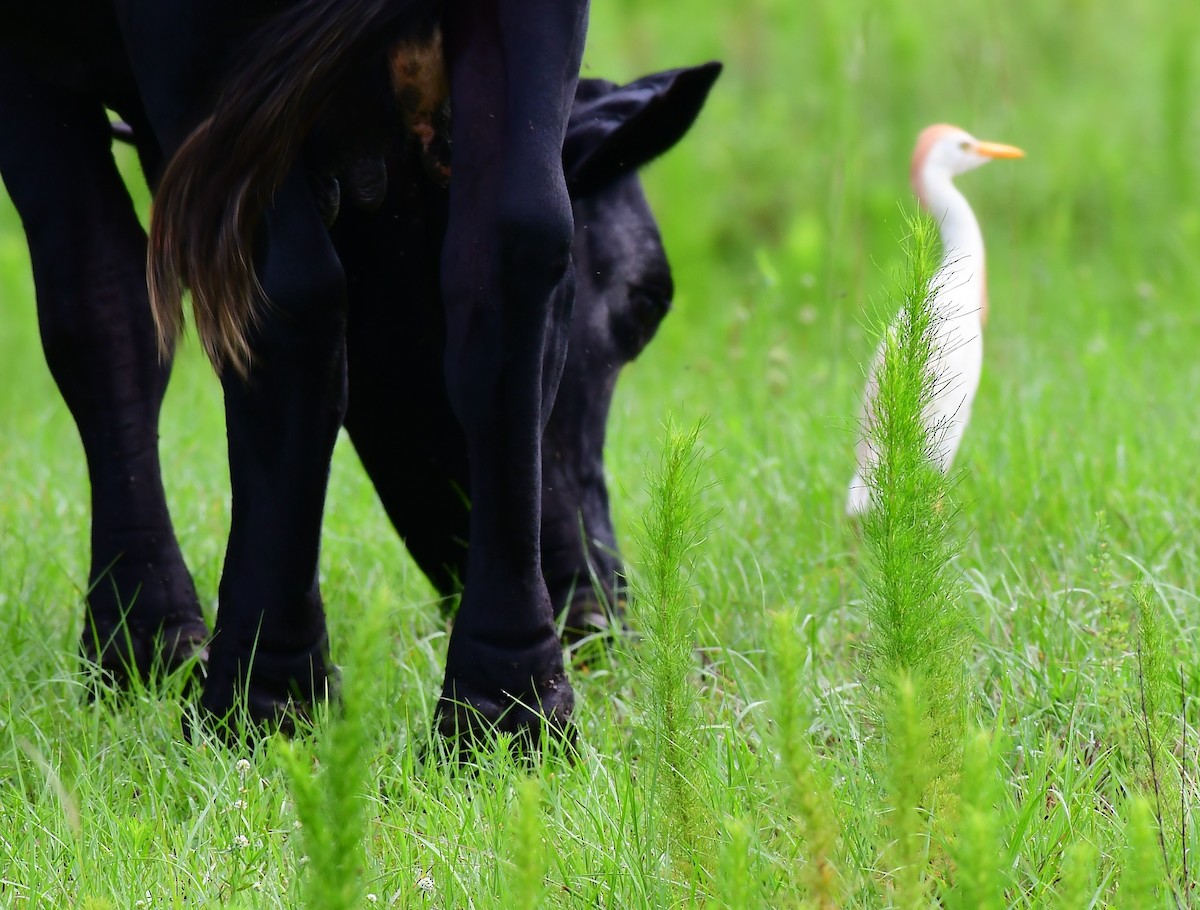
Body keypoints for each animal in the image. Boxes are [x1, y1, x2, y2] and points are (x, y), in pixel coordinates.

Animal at [0, 0, 715, 744]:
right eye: (644, 302)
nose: (597, 609)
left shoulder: (28, 69)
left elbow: (97, 306)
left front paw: (140, 643)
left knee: (285, 292)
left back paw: (258, 699)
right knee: (511, 254)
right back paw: (504, 712)